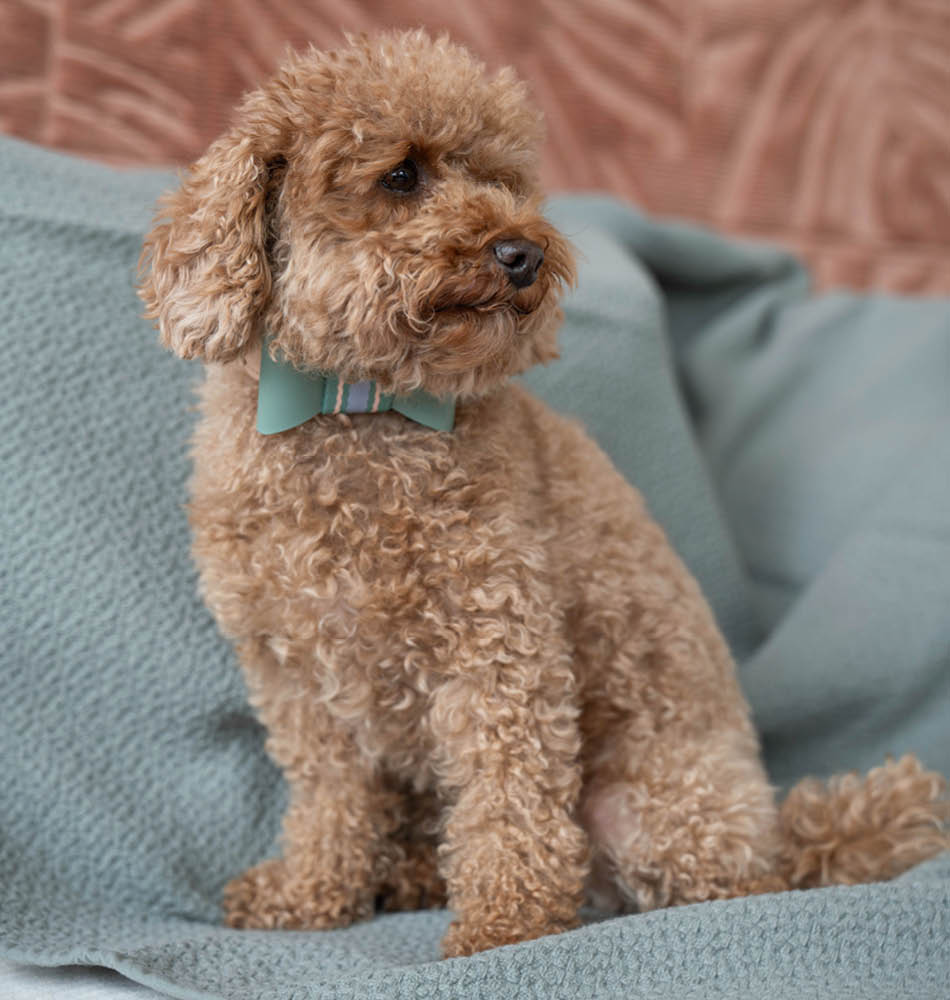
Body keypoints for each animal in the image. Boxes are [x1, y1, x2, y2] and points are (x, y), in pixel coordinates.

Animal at [138, 29, 948, 952]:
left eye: (502, 180)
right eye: (402, 176)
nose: (522, 252)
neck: (359, 407)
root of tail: (779, 829)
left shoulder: (498, 639)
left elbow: (509, 787)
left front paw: (506, 921)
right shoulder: (296, 676)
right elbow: (332, 796)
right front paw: (312, 893)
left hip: (660, 808)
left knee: (737, 886)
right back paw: (412, 873)